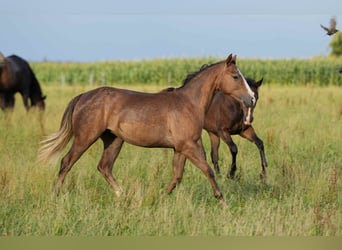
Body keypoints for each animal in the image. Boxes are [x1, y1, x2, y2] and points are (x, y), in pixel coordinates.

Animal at [38, 53, 255, 202]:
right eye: (236, 76)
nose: (251, 98)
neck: (189, 103)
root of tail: (83, 96)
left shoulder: (180, 149)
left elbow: (177, 176)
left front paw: (159, 198)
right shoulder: (189, 146)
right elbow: (208, 170)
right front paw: (222, 201)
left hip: (113, 139)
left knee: (104, 167)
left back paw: (123, 195)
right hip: (85, 137)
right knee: (67, 162)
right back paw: (55, 196)